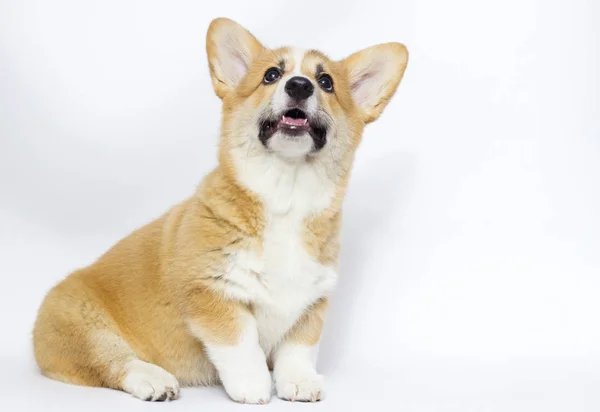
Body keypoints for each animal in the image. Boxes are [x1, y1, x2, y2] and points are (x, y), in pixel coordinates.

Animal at [32, 17, 408, 404]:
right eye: (272, 75)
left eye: (326, 82)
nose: (299, 85)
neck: (286, 192)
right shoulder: (213, 294)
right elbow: (240, 344)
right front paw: (254, 386)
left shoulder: (311, 303)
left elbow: (299, 349)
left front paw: (299, 382)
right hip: (81, 327)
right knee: (113, 360)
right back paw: (153, 379)